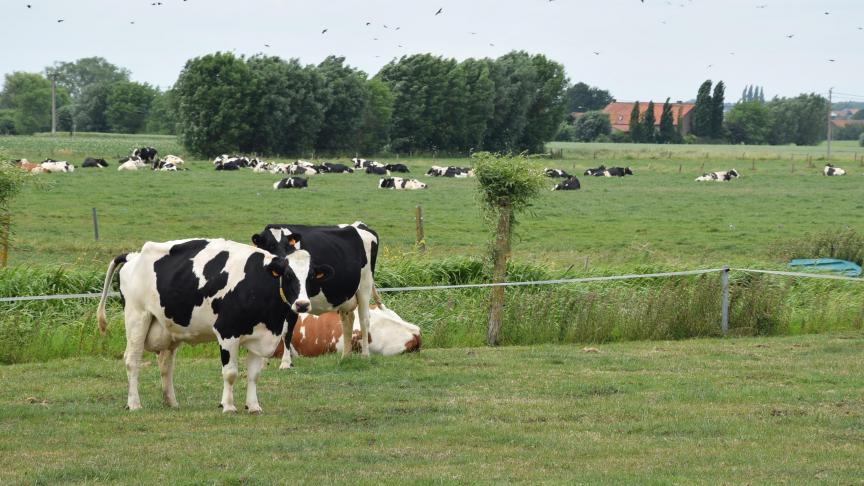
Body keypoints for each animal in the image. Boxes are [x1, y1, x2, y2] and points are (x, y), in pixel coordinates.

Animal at [96, 238, 332, 412]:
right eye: (289, 275)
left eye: (312, 277)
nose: (302, 304)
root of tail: (133, 255)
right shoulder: (227, 332)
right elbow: (230, 373)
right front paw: (228, 406)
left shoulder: (261, 336)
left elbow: (254, 374)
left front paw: (253, 406)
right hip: (137, 317)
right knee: (132, 360)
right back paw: (134, 403)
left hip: (166, 327)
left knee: (165, 364)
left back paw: (171, 402)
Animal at [250, 222, 382, 363]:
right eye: (270, 246)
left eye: (287, 246)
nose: (283, 264)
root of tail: (358, 225)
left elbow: (286, 331)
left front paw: (285, 362)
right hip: (346, 296)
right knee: (348, 321)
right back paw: (345, 357)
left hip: (365, 285)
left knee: (364, 319)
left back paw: (365, 356)